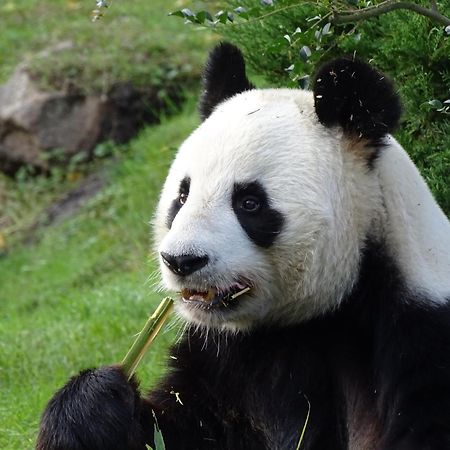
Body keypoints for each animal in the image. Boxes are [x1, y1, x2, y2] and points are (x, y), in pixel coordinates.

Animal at [37, 43, 450, 450]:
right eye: (182, 196)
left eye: (249, 203)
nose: (181, 260)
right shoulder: (226, 358)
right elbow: (179, 428)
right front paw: (95, 403)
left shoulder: (415, 339)